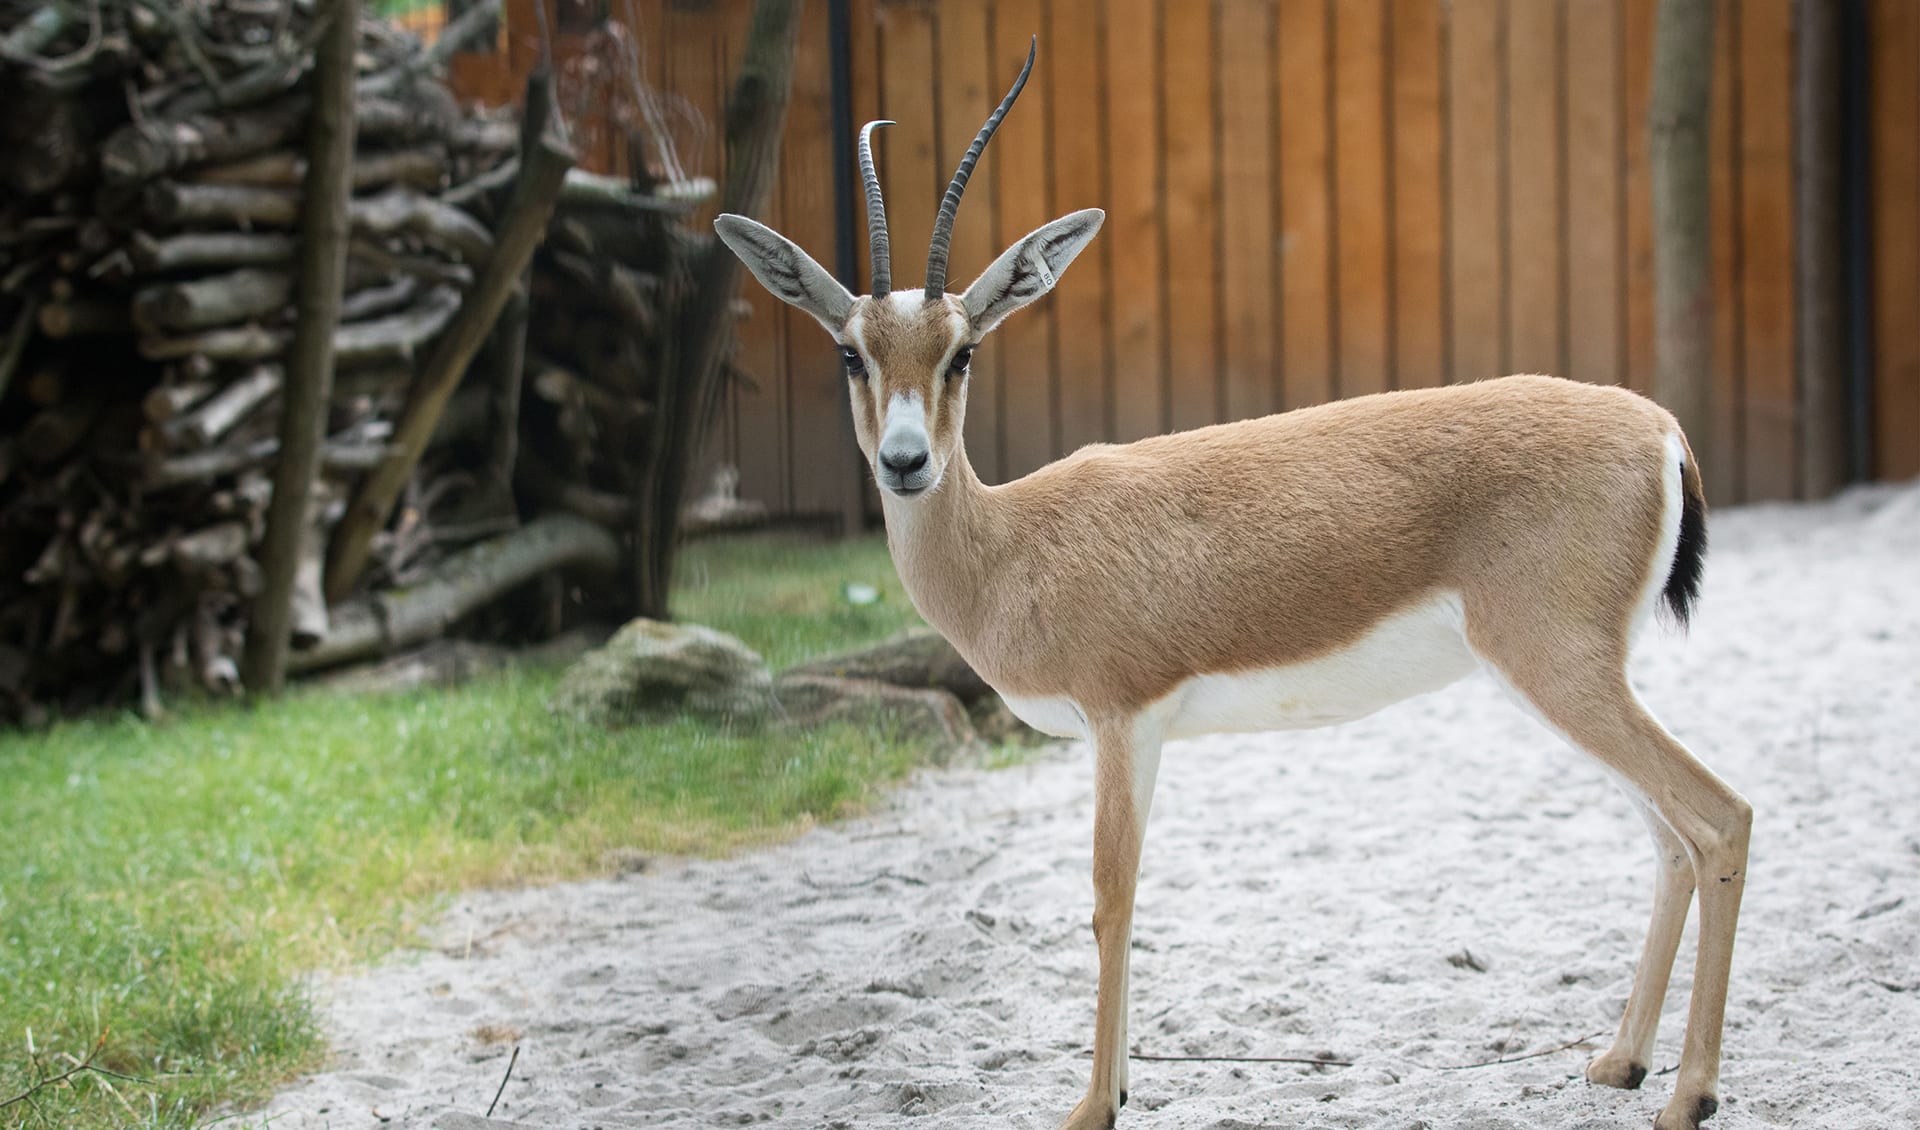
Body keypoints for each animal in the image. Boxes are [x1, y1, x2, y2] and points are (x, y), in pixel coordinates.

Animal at [715, 40, 1749, 1130]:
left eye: (961, 351)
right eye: (850, 351)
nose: (906, 462)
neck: (1013, 549)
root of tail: (1656, 425)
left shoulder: (1123, 719)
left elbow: (1110, 898)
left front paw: (1093, 1107)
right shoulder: (1133, 732)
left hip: (1560, 672)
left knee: (1719, 818)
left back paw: (1689, 1093)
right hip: (1558, 681)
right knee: (1670, 837)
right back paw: (1620, 1062)